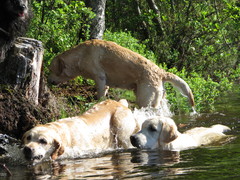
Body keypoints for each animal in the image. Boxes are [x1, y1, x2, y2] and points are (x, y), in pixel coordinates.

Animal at [48, 39, 195, 109]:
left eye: (50, 70)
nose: (49, 81)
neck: (80, 55)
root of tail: (161, 72)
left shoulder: (99, 77)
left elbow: (100, 95)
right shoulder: (105, 82)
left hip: (145, 98)